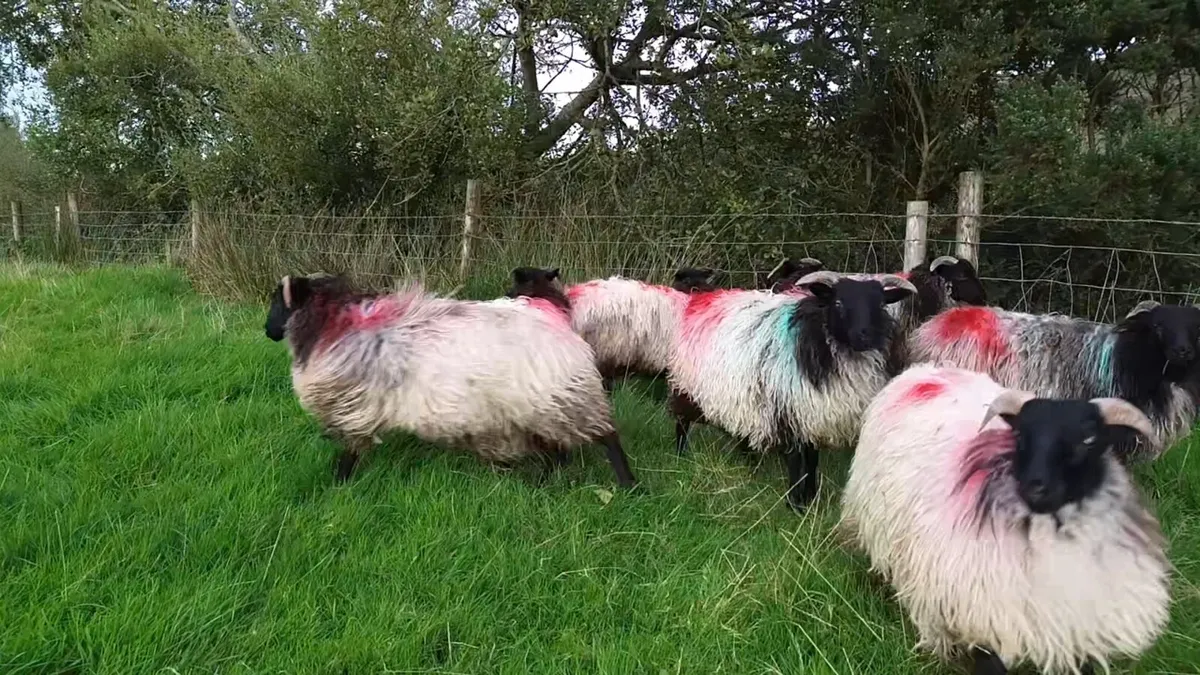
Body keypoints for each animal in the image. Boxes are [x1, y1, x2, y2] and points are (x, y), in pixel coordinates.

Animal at [264, 273, 637, 486]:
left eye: (278, 301)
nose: (268, 332)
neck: (332, 325)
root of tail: (561, 325)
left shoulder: (356, 410)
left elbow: (350, 452)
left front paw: (338, 483)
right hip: (543, 406)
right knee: (559, 449)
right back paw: (546, 482)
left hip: (565, 398)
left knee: (608, 437)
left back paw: (629, 485)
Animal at [668, 269, 918, 511]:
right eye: (838, 302)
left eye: (881, 304)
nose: (864, 336)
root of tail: (702, 296)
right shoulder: (789, 411)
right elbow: (796, 460)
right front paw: (795, 504)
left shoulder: (814, 414)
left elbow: (812, 459)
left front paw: (811, 498)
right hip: (685, 387)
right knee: (681, 423)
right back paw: (681, 455)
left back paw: (749, 465)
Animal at [839, 363, 1170, 675]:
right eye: (1020, 435)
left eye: (1089, 440)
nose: (1035, 486)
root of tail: (926, 371)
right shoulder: (988, 624)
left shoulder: (1077, 632)